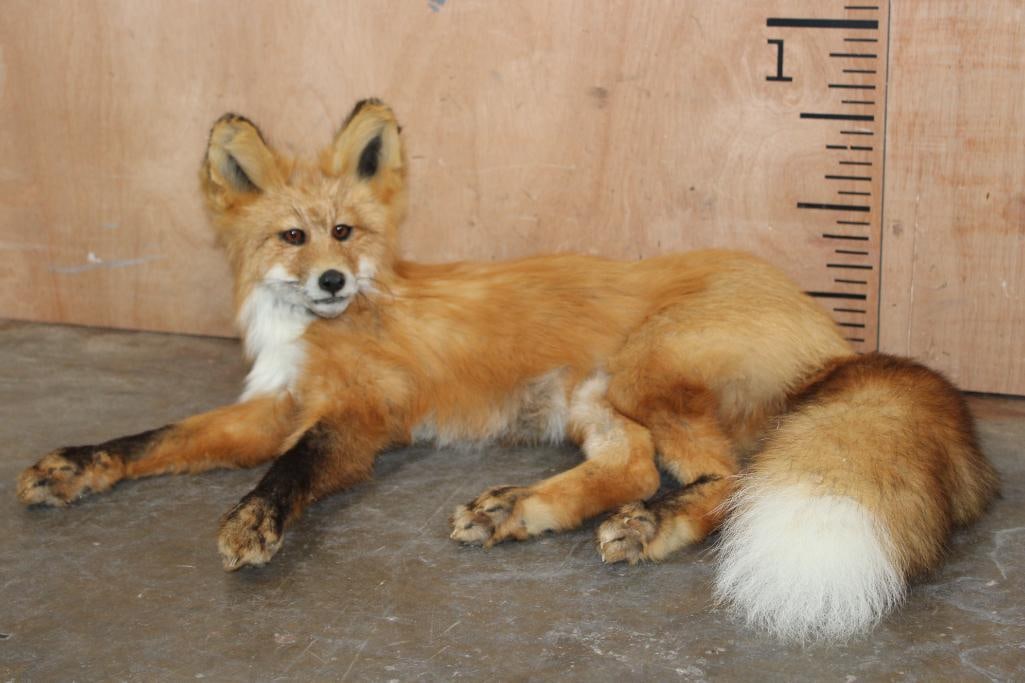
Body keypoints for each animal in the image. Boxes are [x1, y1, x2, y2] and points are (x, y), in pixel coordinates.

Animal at [16, 99, 998, 642]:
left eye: (346, 232)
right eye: (292, 236)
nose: (333, 279)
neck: (327, 325)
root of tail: (832, 333)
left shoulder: (358, 419)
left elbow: (289, 470)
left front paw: (256, 520)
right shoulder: (271, 406)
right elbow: (151, 439)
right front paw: (74, 465)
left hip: (642, 370)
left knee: (721, 478)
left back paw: (649, 526)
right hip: (594, 399)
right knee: (630, 468)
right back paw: (519, 510)